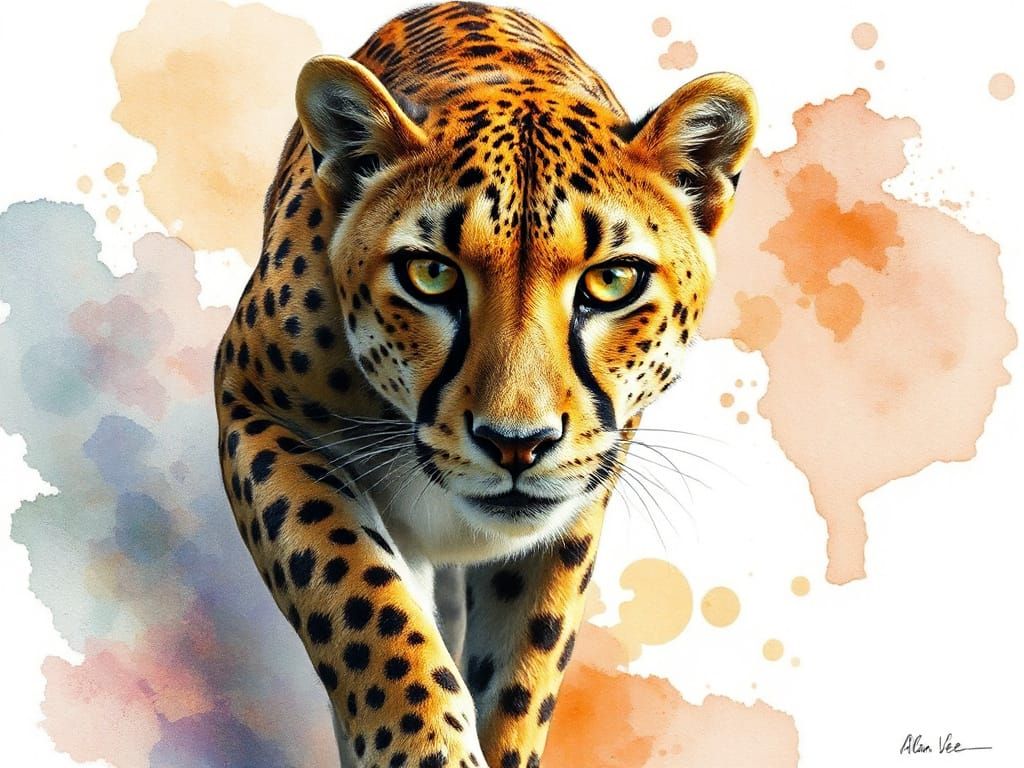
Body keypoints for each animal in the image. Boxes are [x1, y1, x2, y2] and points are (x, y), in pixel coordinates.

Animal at [213, 2, 757, 766]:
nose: (516, 445)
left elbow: (523, 672)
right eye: (430, 273)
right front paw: (424, 748)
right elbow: (361, 599)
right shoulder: (255, 407)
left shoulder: (577, 500)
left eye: (612, 280)